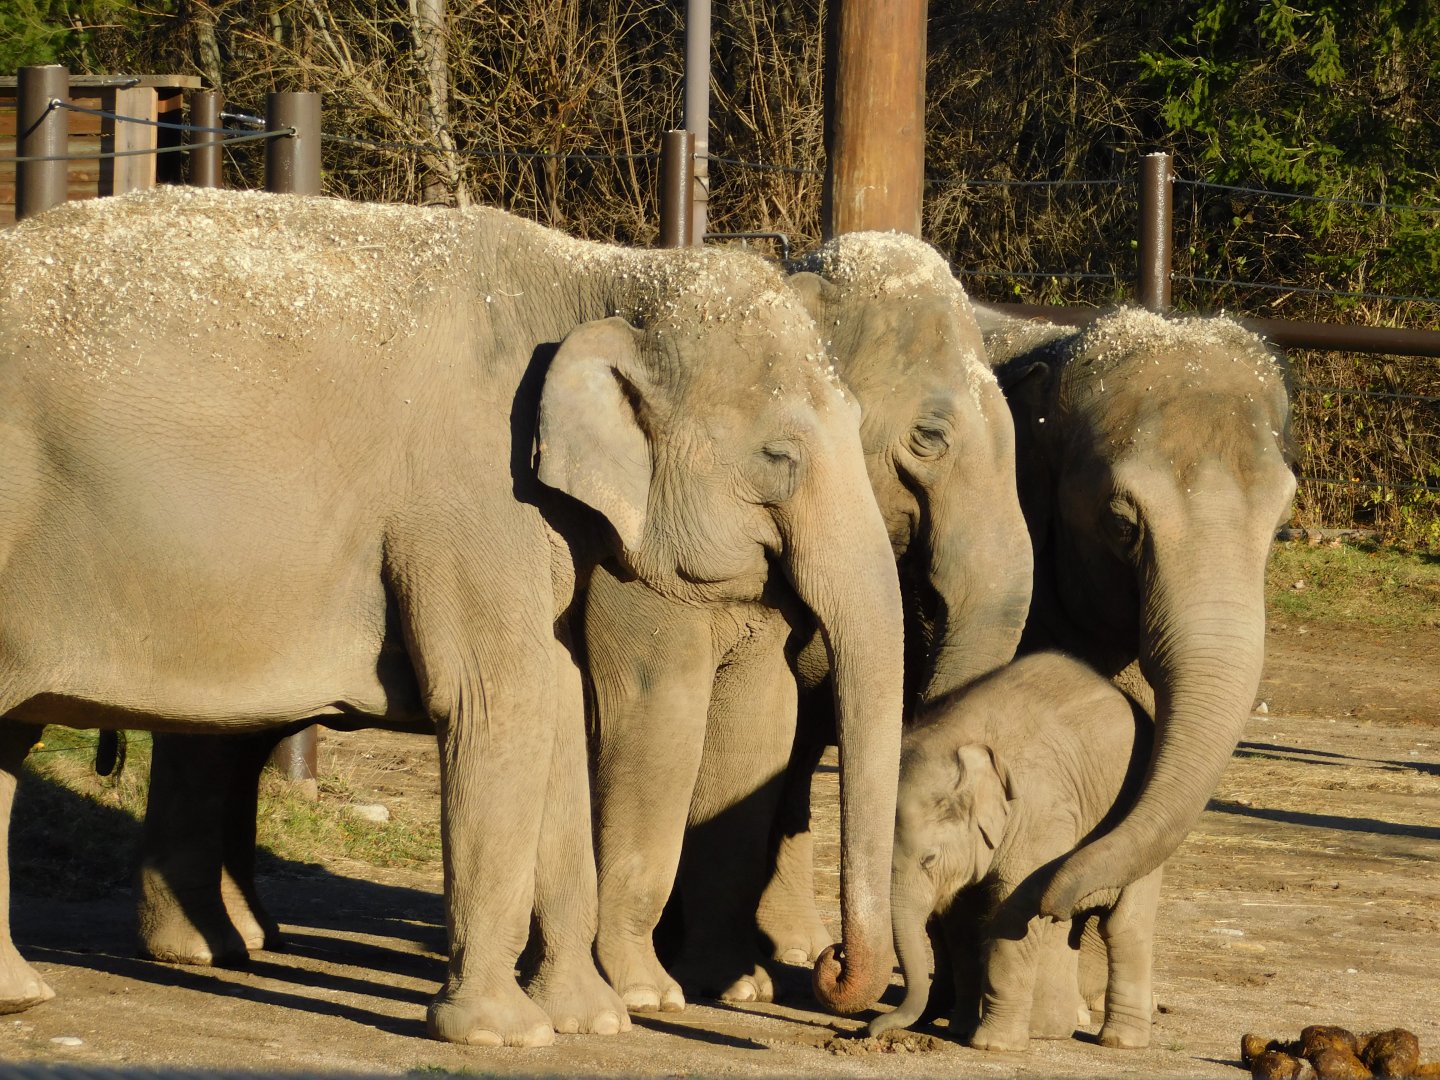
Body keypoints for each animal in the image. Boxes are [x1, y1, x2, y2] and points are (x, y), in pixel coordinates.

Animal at [0, 186, 907, 1046]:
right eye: (780, 456)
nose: (829, 969)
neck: (599, 273)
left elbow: (557, 703)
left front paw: (593, 1022)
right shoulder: (471, 493)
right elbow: (502, 698)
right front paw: (506, 1034)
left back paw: (32, 993)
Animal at [868, 650, 1160, 1052]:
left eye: (929, 859)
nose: (872, 1030)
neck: (956, 738)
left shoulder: (1040, 814)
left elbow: (1013, 908)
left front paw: (993, 1046)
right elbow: (963, 920)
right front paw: (960, 1029)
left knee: (1124, 925)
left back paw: (1120, 1041)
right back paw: (1047, 1030)